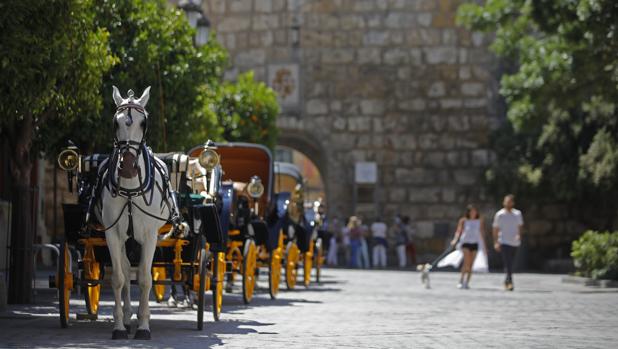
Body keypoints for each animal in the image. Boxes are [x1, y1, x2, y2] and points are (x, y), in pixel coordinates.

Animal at [96, 85, 178, 338]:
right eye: (116, 122)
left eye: (144, 123)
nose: (129, 167)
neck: (131, 190)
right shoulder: (111, 234)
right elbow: (118, 278)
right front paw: (119, 326)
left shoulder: (150, 236)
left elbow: (144, 279)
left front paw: (144, 326)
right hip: (125, 239)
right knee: (124, 269)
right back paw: (127, 316)